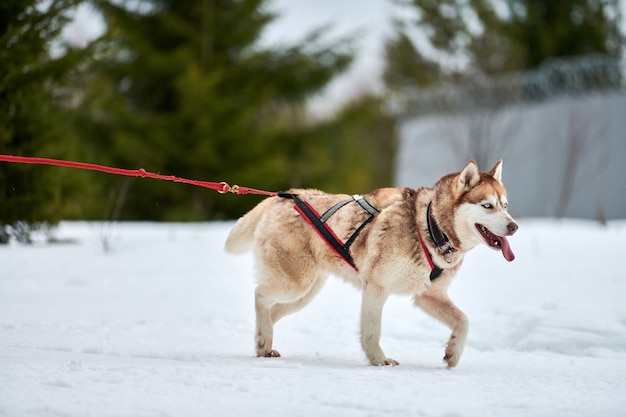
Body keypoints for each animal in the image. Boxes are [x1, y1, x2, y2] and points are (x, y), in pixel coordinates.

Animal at [225, 161, 516, 366]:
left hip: (305, 293)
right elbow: (372, 331)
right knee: (260, 295)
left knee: (271, 311)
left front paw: (453, 353)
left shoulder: (428, 295)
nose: (514, 226)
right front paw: (379, 360)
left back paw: (263, 343)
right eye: (487, 205)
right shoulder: (376, 288)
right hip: (295, 283)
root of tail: (284, 196)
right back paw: (264, 338)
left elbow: (463, 321)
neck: (430, 226)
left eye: (505, 205)